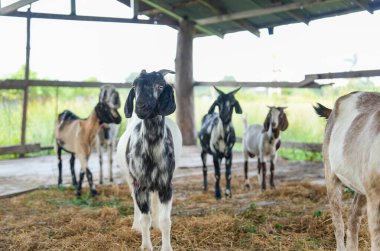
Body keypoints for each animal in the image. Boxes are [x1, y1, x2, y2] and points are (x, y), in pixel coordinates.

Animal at [116, 69, 182, 251]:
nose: (140, 106)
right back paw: (135, 226)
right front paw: (146, 246)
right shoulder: (139, 184)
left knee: (154, 202)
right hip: (130, 178)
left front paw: (166, 247)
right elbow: (145, 218)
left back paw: (156, 224)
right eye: (134, 86)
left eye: (160, 85)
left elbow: (166, 221)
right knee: (135, 202)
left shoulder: (166, 185)